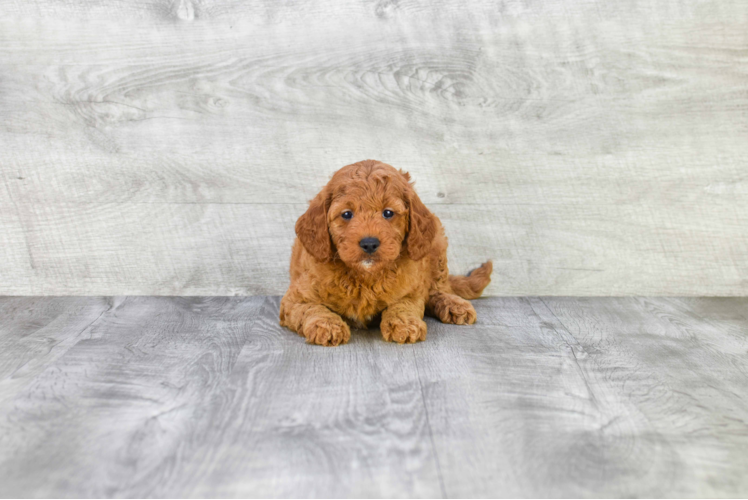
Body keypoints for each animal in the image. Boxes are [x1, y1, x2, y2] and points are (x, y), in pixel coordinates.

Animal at [280, 159, 490, 344]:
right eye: (347, 214)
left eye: (388, 213)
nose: (369, 243)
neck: (364, 278)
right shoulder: (295, 298)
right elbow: (312, 309)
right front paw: (327, 326)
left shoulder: (411, 290)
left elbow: (403, 304)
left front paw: (404, 324)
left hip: (436, 246)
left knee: (438, 288)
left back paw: (454, 304)